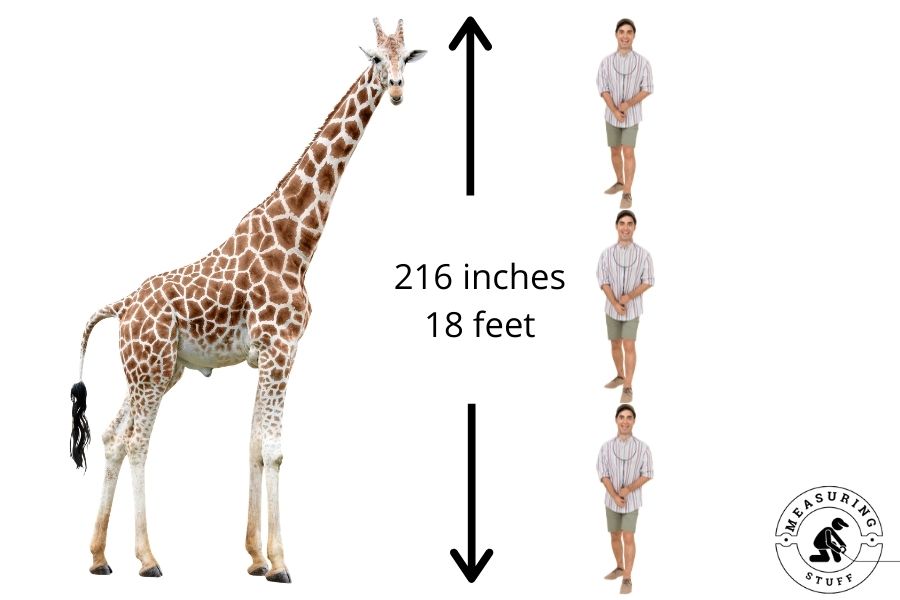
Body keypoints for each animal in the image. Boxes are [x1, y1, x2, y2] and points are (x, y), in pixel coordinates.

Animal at [68, 18, 425, 583]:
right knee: (137, 441)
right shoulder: (280, 348)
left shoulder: (274, 354)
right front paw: (280, 563)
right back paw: (147, 559)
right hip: (151, 372)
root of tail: (122, 305)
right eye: (375, 58)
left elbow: (256, 445)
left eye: (406, 57)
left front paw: (256, 558)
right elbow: (275, 450)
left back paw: (100, 556)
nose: (395, 90)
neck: (297, 240)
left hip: (154, 371)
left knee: (110, 436)